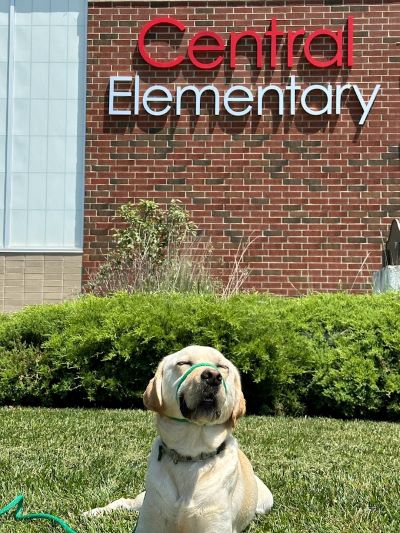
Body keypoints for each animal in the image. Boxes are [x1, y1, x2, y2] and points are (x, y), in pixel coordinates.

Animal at [84, 344, 272, 528]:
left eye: (222, 367)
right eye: (183, 363)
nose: (213, 377)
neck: (191, 453)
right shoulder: (150, 519)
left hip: (266, 501)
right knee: (126, 501)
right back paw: (93, 512)